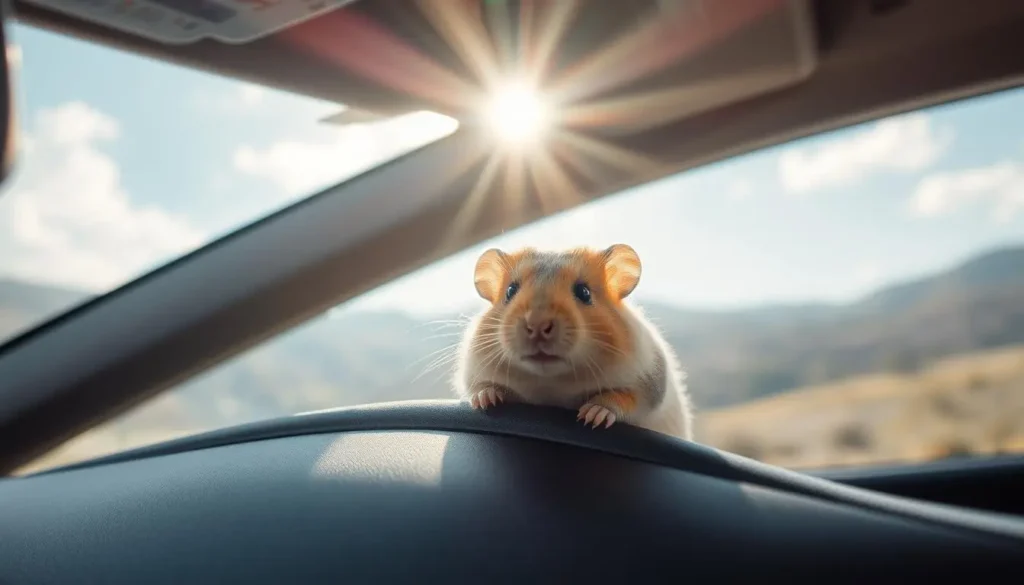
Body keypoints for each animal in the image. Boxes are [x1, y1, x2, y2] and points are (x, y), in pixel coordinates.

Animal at [452, 241, 692, 438]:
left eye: (584, 292)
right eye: (510, 291)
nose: (537, 325)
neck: (551, 386)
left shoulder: (649, 384)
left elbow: (624, 399)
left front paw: (593, 415)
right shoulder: (474, 371)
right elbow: (480, 386)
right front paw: (485, 399)